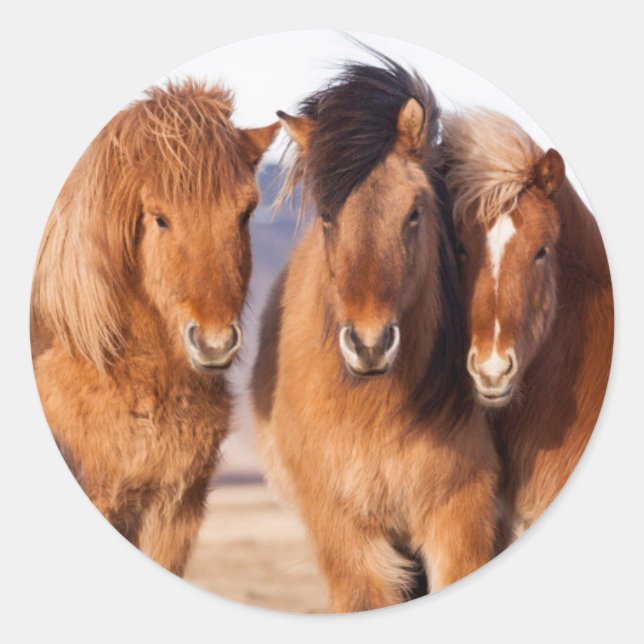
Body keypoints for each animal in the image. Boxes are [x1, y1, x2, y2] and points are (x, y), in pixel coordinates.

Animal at [251, 57, 499, 613]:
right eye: (326, 216)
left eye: (415, 212)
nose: (369, 345)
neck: (376, 413)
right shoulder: (345, 533)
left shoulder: (460, 515)